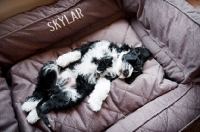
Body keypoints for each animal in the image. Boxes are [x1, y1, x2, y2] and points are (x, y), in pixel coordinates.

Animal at [21, 40, 152, 127]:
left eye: (134, 73)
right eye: (135, 62)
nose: (126, 73)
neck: (113, 59)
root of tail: (55, 89)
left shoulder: (105, 77)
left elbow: (103, 88)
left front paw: (95, 104)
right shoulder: (92, 45)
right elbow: (78, 52)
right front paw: (62, 60)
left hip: (70, 96)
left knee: (46, 104)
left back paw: (32, 116)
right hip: (49, 67)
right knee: (41, 91)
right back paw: (29, 103)